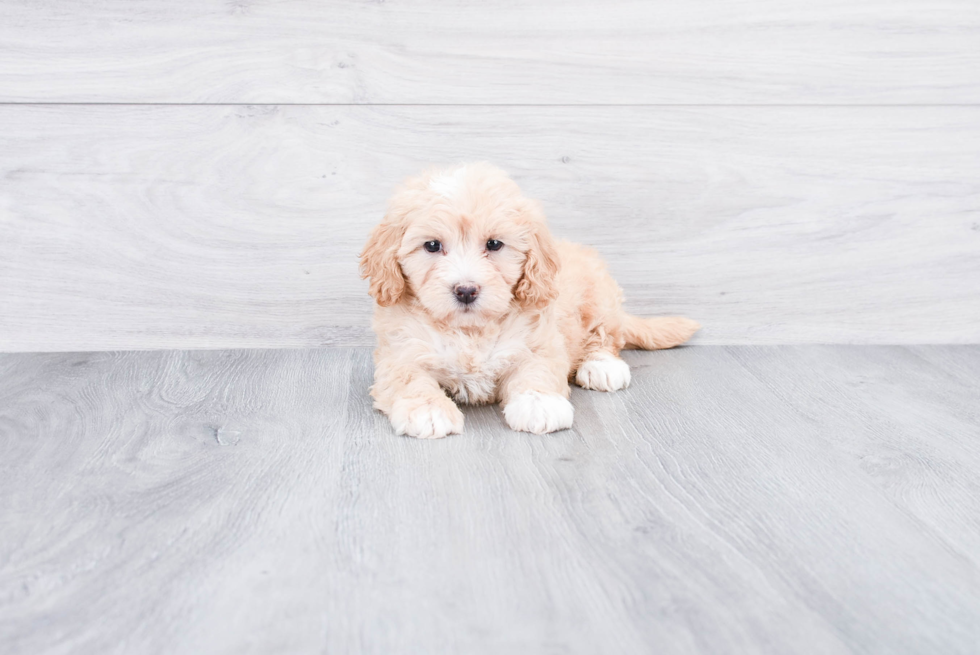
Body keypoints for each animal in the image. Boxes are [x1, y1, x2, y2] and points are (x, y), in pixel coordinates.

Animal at [360, 161, 696, 438]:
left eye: (494, 244)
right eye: (431, 246)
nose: (466, 290)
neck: (470, 331)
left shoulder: (539, 342)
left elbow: (537, 370)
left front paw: (539, 403)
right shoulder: (400, 351)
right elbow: (408, 378)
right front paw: (428, 409)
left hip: (601, 298)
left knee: (605, 337)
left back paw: (602, 366)